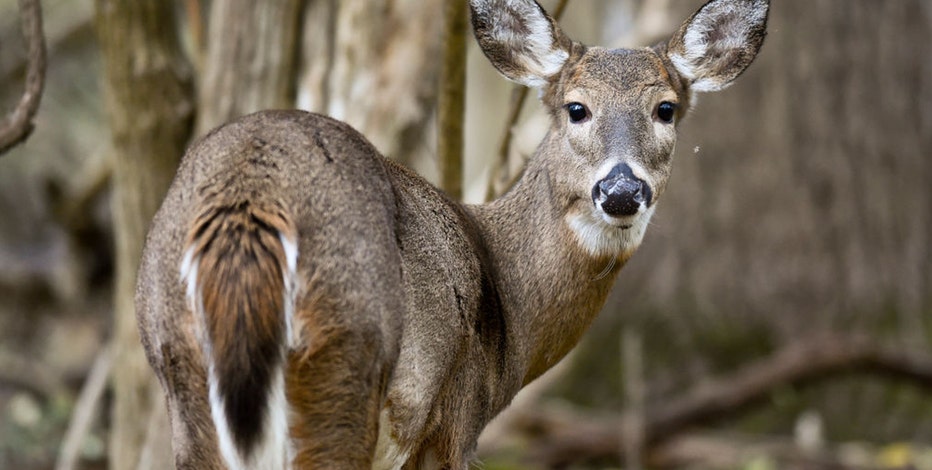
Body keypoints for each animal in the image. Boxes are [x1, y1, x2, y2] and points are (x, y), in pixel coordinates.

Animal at [135, 0, 768, 468]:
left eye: (666, 109)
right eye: (576, 108)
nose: (620, 191)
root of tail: (252, 198)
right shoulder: (455, 421)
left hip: (180, 369)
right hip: (345, 358)